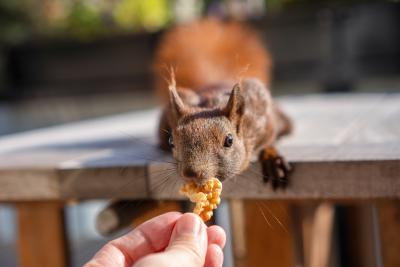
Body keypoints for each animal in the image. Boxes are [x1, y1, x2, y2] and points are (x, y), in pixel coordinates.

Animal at [152, 17, 292, 189]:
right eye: (172, 141)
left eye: (229, 141)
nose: (190, 174)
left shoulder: (260, 108)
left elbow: (268, 140)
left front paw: (271, 158)